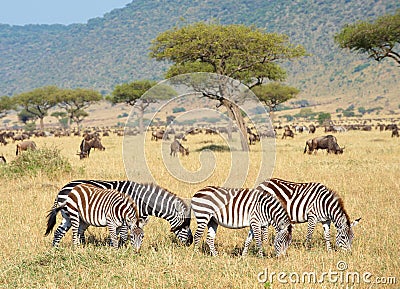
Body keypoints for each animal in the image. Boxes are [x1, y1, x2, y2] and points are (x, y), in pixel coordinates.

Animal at [48, 179, 192, 246]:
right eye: (185, 225)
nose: (190, 243)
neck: (142, 201)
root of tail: (62, 189)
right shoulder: (126, 217)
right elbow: (123, 235)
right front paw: (123, 249)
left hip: (67, 217)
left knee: (58, 232)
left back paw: (56, 250)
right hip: (72, 215)